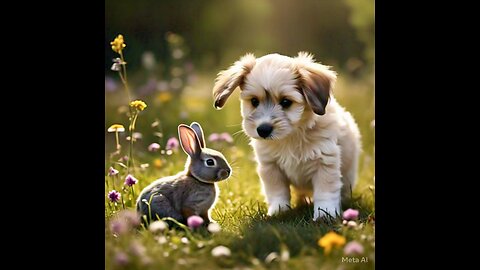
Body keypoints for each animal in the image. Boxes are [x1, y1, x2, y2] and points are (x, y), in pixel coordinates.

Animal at [213, 51, 360, 220]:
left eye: (285, 102)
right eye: (254, 101)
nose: (263, 130)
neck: (291, 136)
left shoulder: (325, 162)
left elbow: (325, 192)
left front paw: (325, 213)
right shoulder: (270, 166)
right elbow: (277, 191)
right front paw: (279, 211)